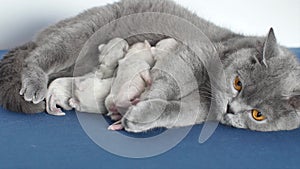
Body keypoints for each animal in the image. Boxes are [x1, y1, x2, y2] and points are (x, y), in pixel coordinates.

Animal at [0, 0, 298, 132]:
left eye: (258, 114)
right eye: (238, 83)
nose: (231, 109)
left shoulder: (203, 109)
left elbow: (178, 112)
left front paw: (138, 116)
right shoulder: (197, 52)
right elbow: (172, 78)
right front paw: (144, 99)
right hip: (84, 31)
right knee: (39, 54)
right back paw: (34, 84)